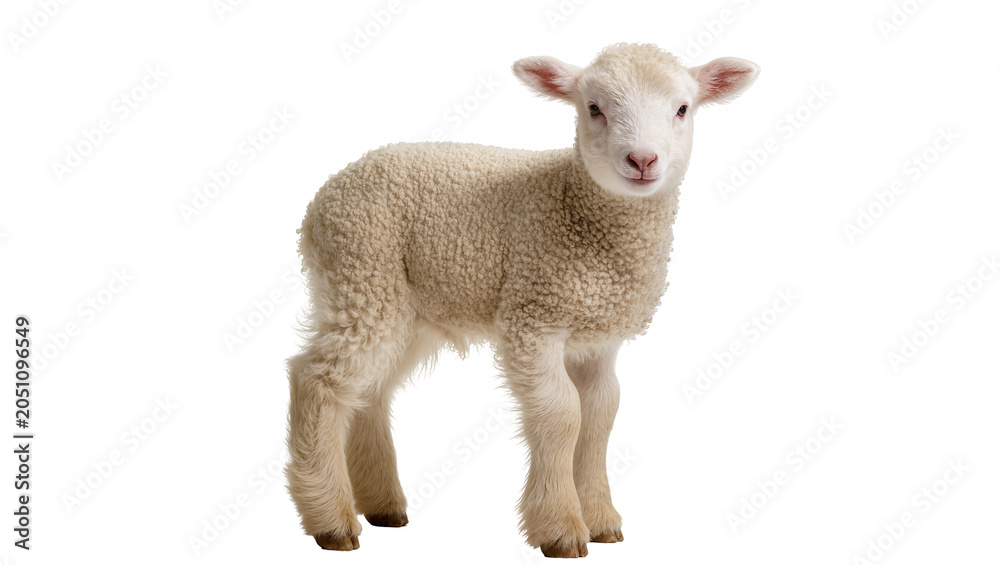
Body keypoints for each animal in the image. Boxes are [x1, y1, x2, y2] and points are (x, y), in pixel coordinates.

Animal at [285, 42, 759, 558]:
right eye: (594, 108)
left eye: (682, 109)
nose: (642, 160)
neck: (579, 209)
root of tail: (319, 203)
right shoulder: (534, 317)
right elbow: (563, 414)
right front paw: (561, 527)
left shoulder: (598, 337)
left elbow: (600, 415)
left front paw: (601, 520)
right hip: (362, 274)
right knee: (318, 380)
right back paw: (331, 520)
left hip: (407, 306)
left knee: (369, 391)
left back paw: (382, 506)